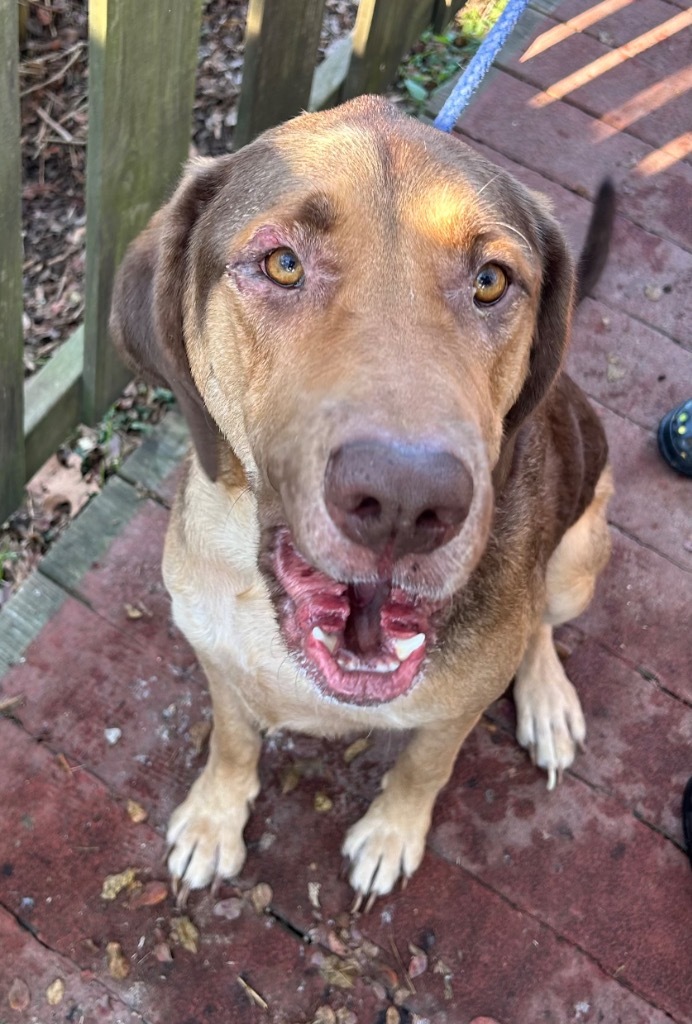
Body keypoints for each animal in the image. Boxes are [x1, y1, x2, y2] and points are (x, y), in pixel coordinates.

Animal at [111, 94, 614, 897]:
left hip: (578, 558)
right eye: (282, 263)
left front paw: (390, 834)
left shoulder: (456, 708)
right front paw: (216, 817)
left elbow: (425, 766)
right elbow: (231, 739)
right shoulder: (214, 655)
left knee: (540, 624)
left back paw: (547, 701)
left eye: (491, 281)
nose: (407, 504)